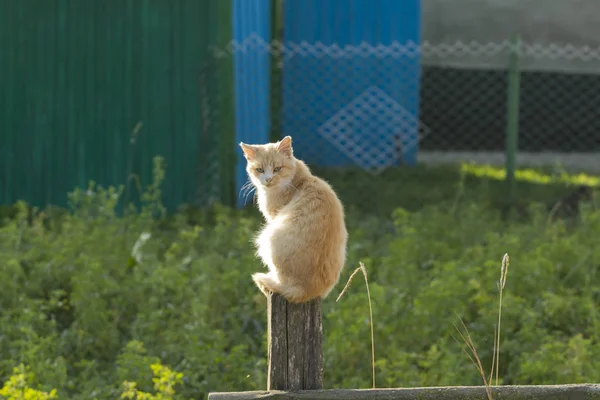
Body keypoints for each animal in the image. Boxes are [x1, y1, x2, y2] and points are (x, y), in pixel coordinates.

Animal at [240, 136, 346, 302]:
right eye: (260, 170)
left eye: (277, 168)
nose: (268, 179)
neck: (300, 180)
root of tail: (304, 291)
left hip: (267, 238)